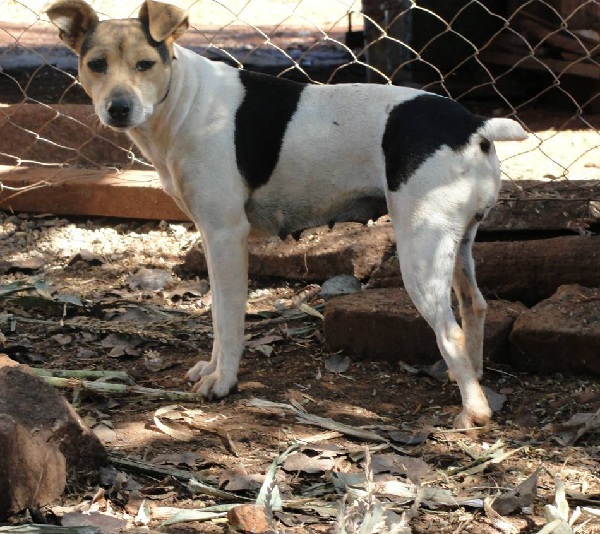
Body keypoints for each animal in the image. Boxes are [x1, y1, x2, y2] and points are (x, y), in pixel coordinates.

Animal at [49, 0, 528, 430]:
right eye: (96, 64)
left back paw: (474, 412)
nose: (119, 108)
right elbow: (218, 314)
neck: (184, 99)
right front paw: (212, 369)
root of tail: (472, 125)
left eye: (145, 65)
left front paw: (223, 382)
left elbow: (228, 318)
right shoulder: (211, 237)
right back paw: (472, 376)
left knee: (449, 330)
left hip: (420, 254)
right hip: (456, 244)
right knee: (475, 305)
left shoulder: (226, 236)